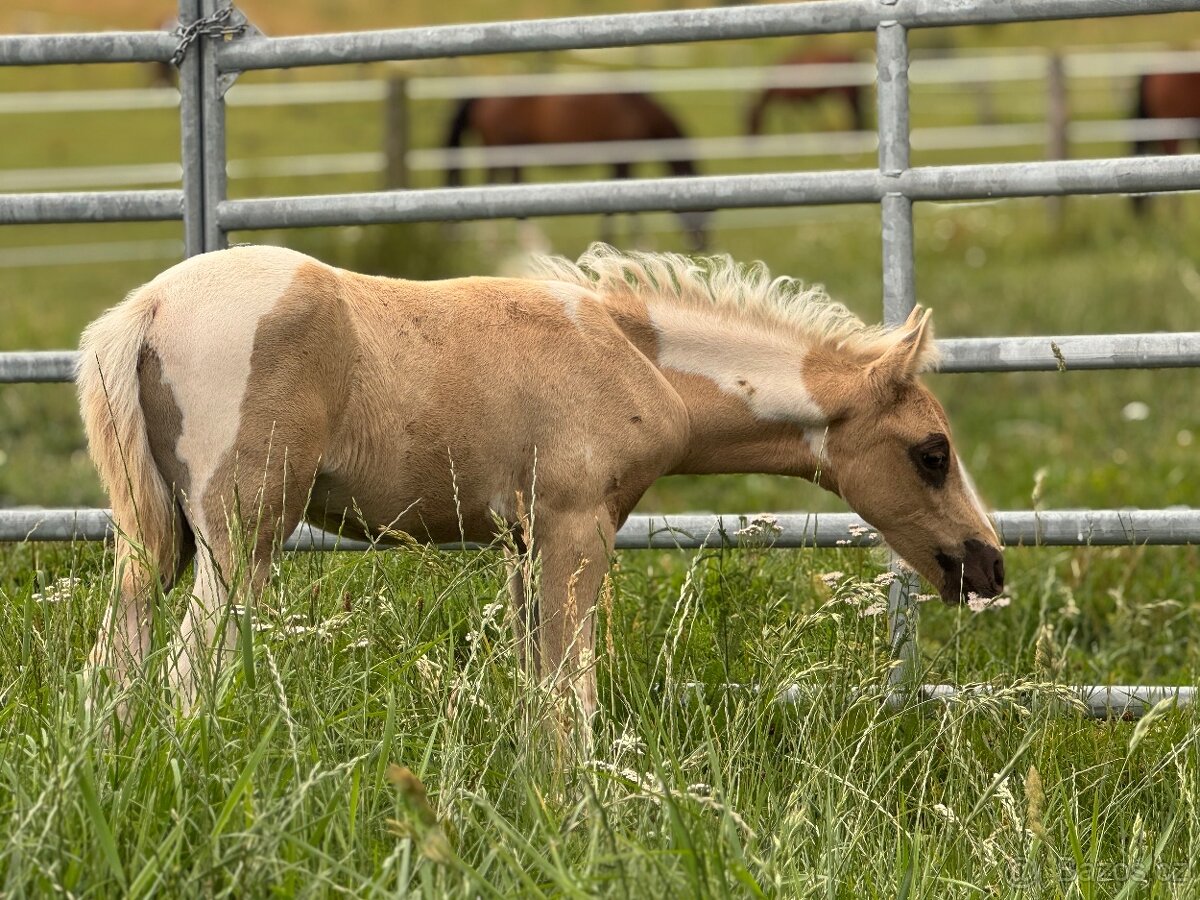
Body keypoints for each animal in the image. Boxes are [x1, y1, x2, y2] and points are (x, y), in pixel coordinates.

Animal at [78, 243, 1004, 733]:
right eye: (932, 453)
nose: (988, 565)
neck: (631, 357)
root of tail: (149, 306)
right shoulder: (576, 527)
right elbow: (572, 693)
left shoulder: (522, 546)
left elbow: (535, 689)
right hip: (242, 540)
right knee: (186, 674)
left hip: (151, 544)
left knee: (115, 666)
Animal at [443, 93, 710, 250]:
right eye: (699, 208)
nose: (701, 245)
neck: (636, 111)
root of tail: (483, 99)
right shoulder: (622, 160)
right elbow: (626, 209)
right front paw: (638, 244)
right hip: (505, 151)